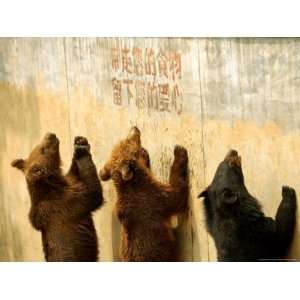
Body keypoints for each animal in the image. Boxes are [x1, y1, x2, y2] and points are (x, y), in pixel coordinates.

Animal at [11, 132, 103, 262]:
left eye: (38, 146)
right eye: (43, 149)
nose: (51, 134)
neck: (52, 186)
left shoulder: (69, 185)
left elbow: (74, 173)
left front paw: (80, 142)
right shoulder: (68, 204)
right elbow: (93, 193)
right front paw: (81, 151)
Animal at [99, 125, 188, 262]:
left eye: (124, 140)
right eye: (128, 141)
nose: (134, 128)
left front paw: (145, 155)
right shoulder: (155, 199)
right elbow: (177, 195)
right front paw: (179, 152)